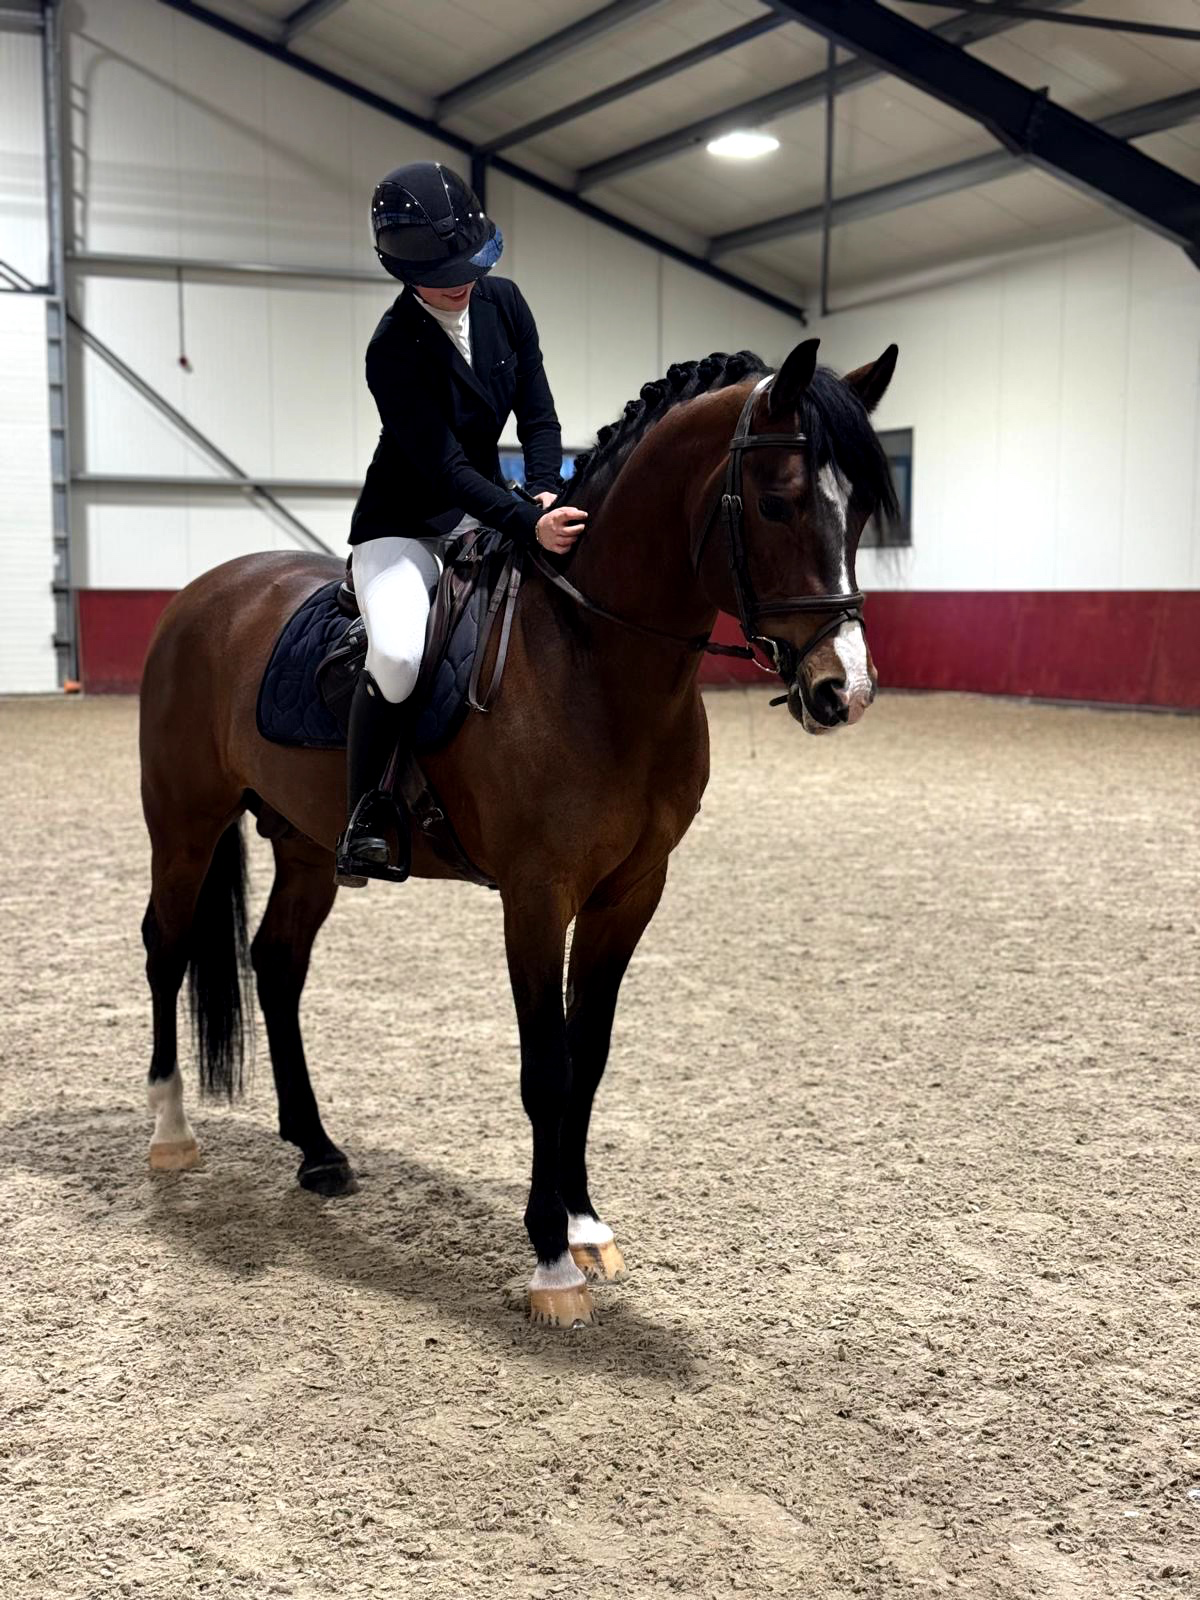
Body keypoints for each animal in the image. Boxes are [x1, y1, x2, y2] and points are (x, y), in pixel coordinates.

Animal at [138, 334, 899, 1327]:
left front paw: (584, 1224)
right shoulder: (537, 898)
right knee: (165, 947)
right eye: (778, 501)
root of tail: (207, 590)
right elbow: (545, 1066)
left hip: (305, 844)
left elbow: (589, 1057)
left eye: (863, 511)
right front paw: (551, 1263)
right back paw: (171, 1133)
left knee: (276, 963)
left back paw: (318, 1151)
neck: (594, 657)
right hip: (183, 821)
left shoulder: (630, 893)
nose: (843, 690)